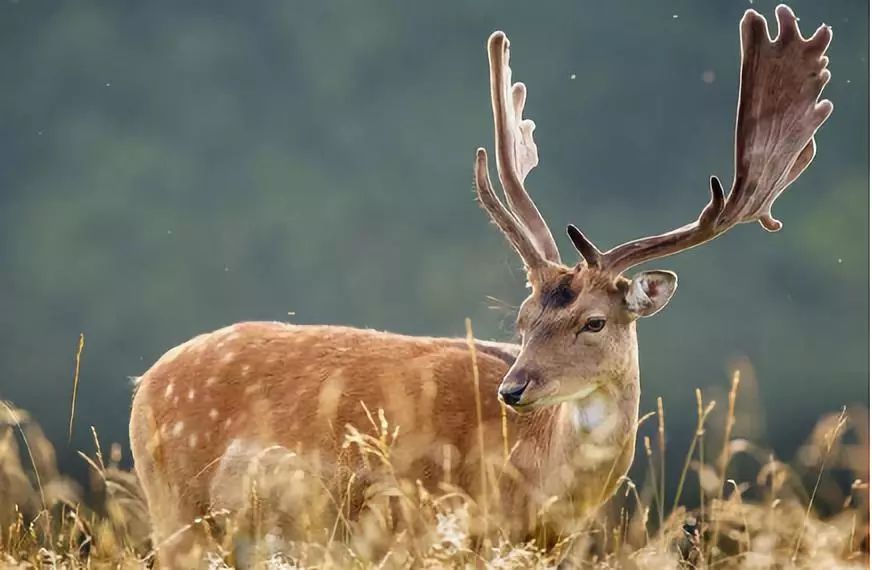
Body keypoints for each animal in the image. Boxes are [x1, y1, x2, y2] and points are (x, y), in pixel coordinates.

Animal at [127, 6, 832, 564]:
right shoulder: (422, 526)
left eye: (593, 321)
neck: (536, 485)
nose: (513, 389)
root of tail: (145, 383)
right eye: (522, 319)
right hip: (177, 510)